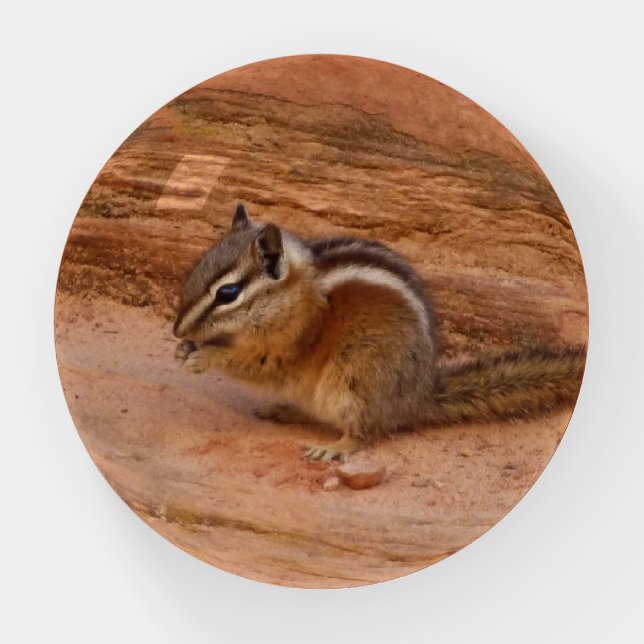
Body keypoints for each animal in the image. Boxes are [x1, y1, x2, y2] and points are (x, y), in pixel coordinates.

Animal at [173, 204, 586, 462]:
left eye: (228, 293)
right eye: (197, 267)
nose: (176, 328)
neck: (291, 295)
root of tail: (416, 396)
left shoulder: (292, 344)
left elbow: (258, 364)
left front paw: (204, 356)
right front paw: (184, 349)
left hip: (355, 377)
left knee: (365, 431)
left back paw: (337, 447)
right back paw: (283, 409)